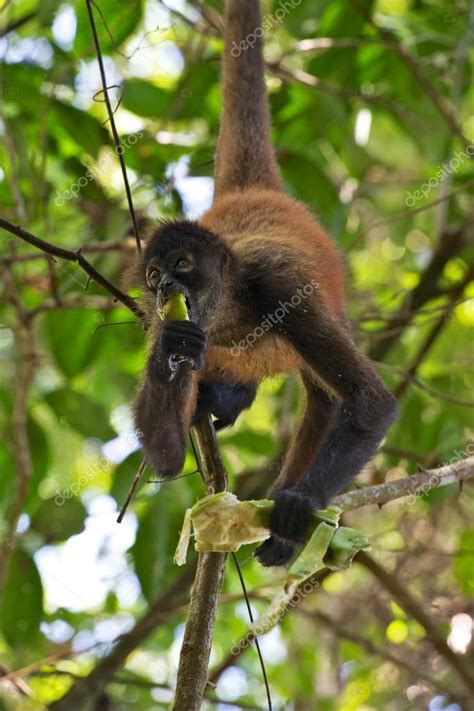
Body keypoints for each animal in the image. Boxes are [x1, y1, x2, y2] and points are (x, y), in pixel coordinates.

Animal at [133, 0, 396, 568]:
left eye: (183, 264)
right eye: (153, 274)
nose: (165, 288)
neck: (230, 306)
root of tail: (252, 195)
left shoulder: (279, 286)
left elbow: (370, 403)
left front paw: (299, 504)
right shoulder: (157, 322)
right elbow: (166, 457)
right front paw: (173, 347)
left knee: (325, 397)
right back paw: (222, 396)